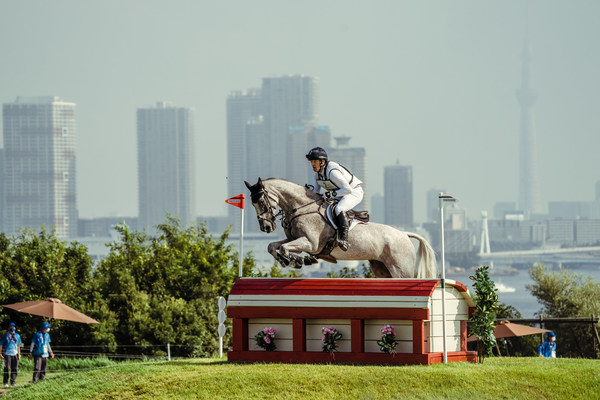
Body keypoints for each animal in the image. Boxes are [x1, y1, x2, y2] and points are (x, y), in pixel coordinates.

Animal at [243, 178, 436, 278]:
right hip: (382, 269)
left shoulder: (310, 243)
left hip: (401, 269)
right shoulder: (294, 239)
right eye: (252, 203)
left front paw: (297, 260)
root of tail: (404, 234)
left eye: (261, 202)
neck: (302, 208)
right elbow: (273, 246)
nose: (266, 227)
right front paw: (289, 260)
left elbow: (283, 248)